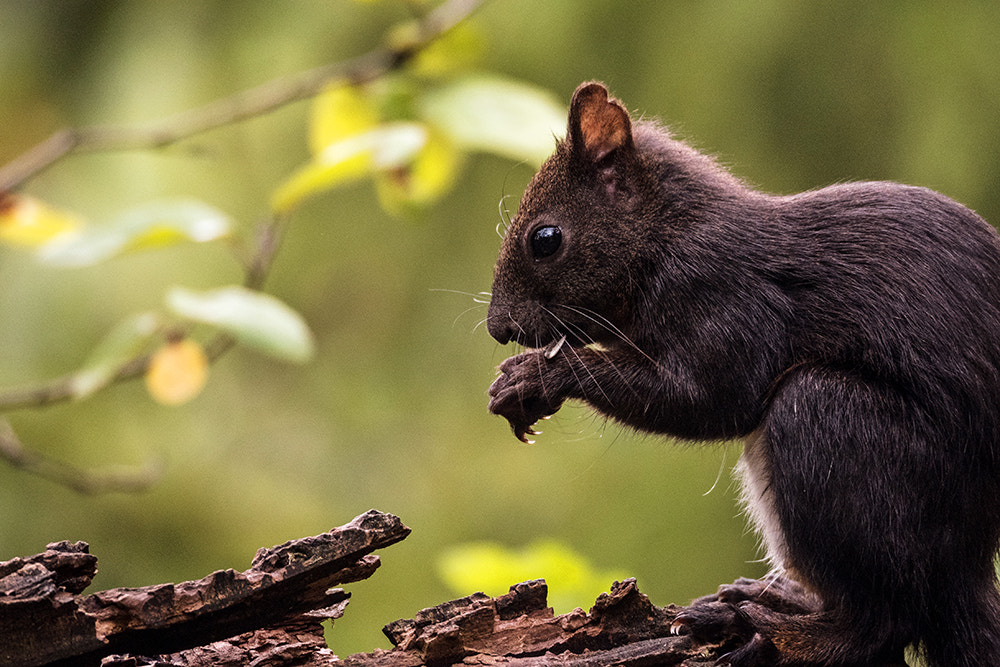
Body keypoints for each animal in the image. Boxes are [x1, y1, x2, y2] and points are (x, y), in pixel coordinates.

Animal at [488, 82, 1000, 667]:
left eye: (545, 238)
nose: (497, 328)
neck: (667, 236)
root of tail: (967, 569)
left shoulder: (727, 299)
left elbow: (710, 399)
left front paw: (538, 377)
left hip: (831, 420)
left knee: (885, 621)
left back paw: (790, 634)